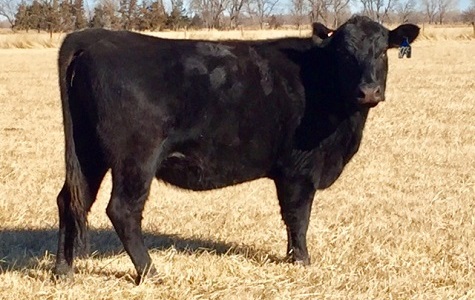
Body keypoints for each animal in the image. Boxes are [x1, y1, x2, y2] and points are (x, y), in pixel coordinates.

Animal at [53, 15, 420, 284]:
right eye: (344, 53)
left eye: (382, 51)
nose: (368, 91)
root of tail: (94, 37)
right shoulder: (299, 169)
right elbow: (298, 216)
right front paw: (301, 260)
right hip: (136, 157)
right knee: (123, 210)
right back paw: (151, 272)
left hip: (88, 152)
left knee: (71, 200)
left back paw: (63, 270)